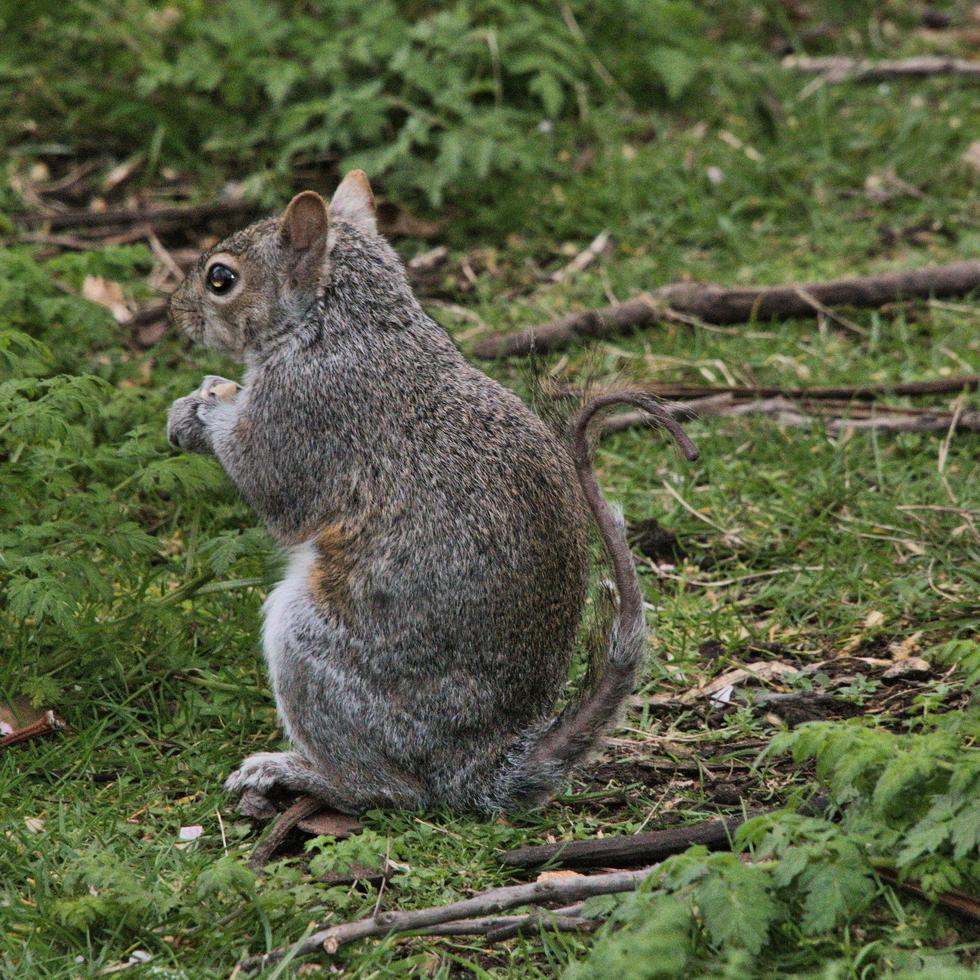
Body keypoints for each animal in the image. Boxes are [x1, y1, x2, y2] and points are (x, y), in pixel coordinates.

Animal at [167, 172, 696, 816]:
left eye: (221, 279)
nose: (175, 310)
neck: (339, 325)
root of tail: (472, 767)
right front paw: (210, 390)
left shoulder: (309, 412)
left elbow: (269, 482)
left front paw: (199, 413)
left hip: (316, 651)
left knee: (387, 789)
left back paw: (298, 773)